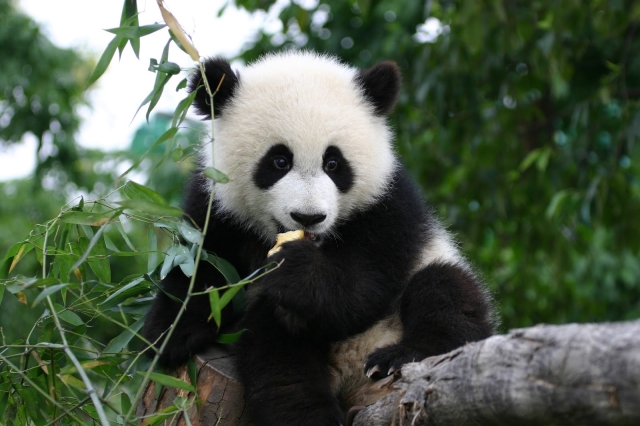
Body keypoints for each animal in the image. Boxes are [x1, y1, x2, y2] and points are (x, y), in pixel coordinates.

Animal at [142, 51, 498, 424]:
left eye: (334, 163)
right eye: (279, 161)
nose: (309, 217)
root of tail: (354, 383)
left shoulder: (388, 206)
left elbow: (363, 286)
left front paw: (295, 270)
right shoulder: (218, 206)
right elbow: (200, 264)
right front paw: (172, 334)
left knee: (447, 296)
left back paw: (395, 359)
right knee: (278, 353)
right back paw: (312, 412)